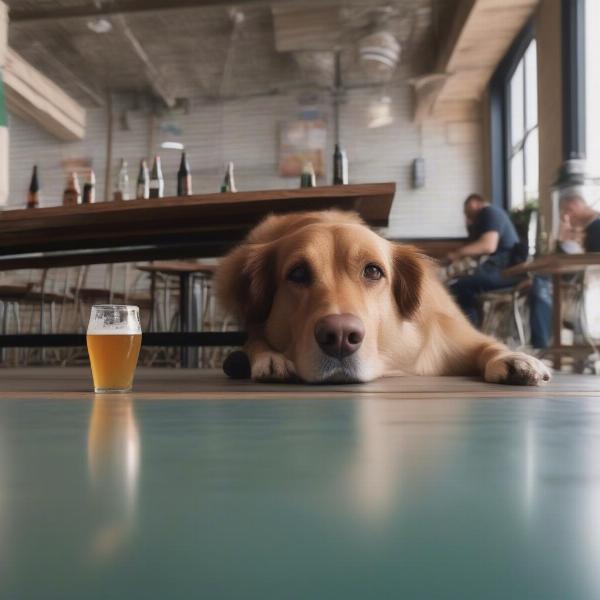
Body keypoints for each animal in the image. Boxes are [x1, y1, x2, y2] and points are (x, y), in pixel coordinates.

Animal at [218, 211, 552, 386]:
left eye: (373, 271)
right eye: (298, 273)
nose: (340, 337)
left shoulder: (450, 334)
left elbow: (488, 343)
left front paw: (514, 358)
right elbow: (256, 339)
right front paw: (270, 357)